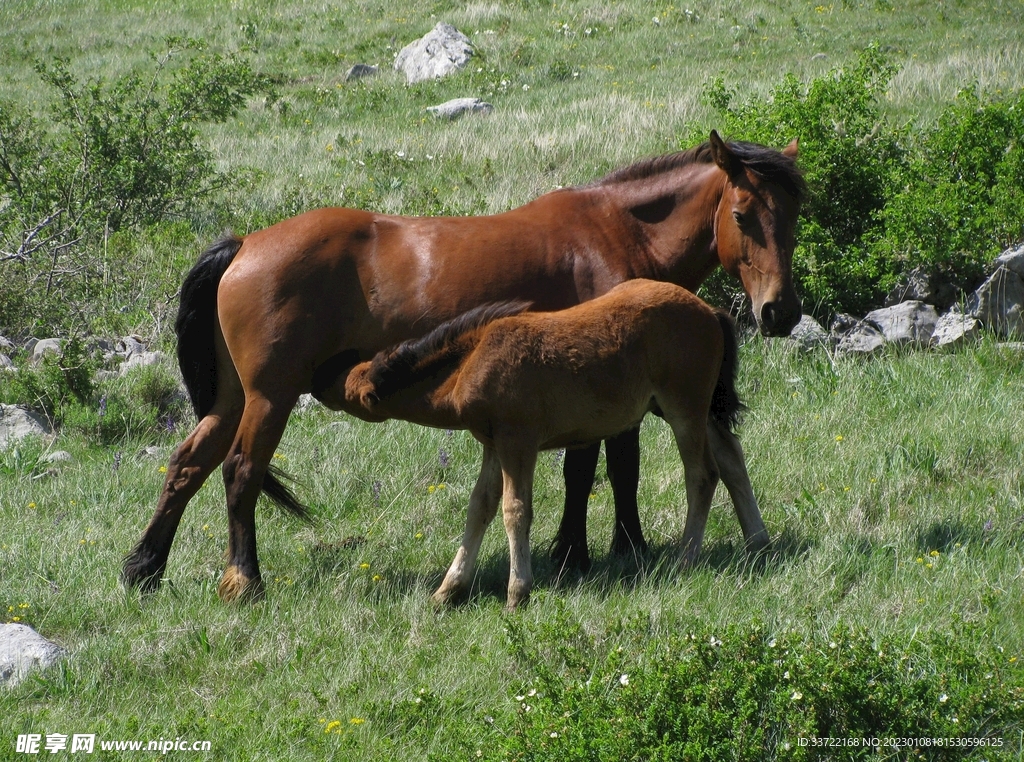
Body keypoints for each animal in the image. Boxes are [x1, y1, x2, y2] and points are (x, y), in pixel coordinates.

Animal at [342, 279, 750, 610]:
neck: (473, 358)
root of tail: (710, 311)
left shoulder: (517, 442)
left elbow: (515, 510)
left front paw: (517, 592)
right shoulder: (494, 446)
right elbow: (480, 508)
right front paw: (448, 590)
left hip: (684, 409)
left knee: (702, 475)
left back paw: (686, 560)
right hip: (693, 410)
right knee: (731, 455)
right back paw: (757, 541)